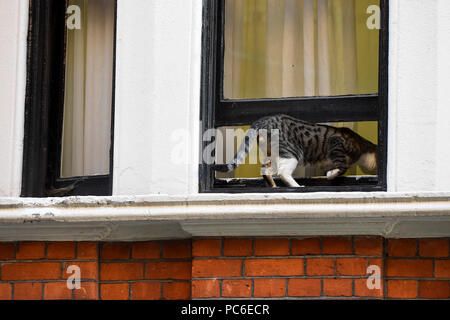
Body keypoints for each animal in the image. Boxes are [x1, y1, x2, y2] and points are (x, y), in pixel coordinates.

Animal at [213, 114, 378, 188]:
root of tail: (264, 119)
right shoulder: (336, 145)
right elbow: (342, 167)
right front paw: (331, 174)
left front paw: (330, 172)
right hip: (291, 153)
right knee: (283, 172)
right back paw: (297, 186)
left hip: (272, 153)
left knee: (265, 169)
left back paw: (273, 186)